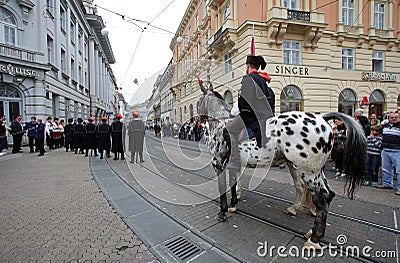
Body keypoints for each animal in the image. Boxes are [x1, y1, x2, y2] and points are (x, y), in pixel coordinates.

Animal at [198, 83, 368, 251]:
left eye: (199, 101)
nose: (199, 119)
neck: (220, 123)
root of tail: (321, 118)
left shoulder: (218, 164)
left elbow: (222, 189)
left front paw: (222, 212)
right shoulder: (233, 165)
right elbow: (233, 184)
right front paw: (233, 205)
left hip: (308, 172)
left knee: (321, 198)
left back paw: (314, 239)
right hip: (316, 171)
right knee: (328, 194)